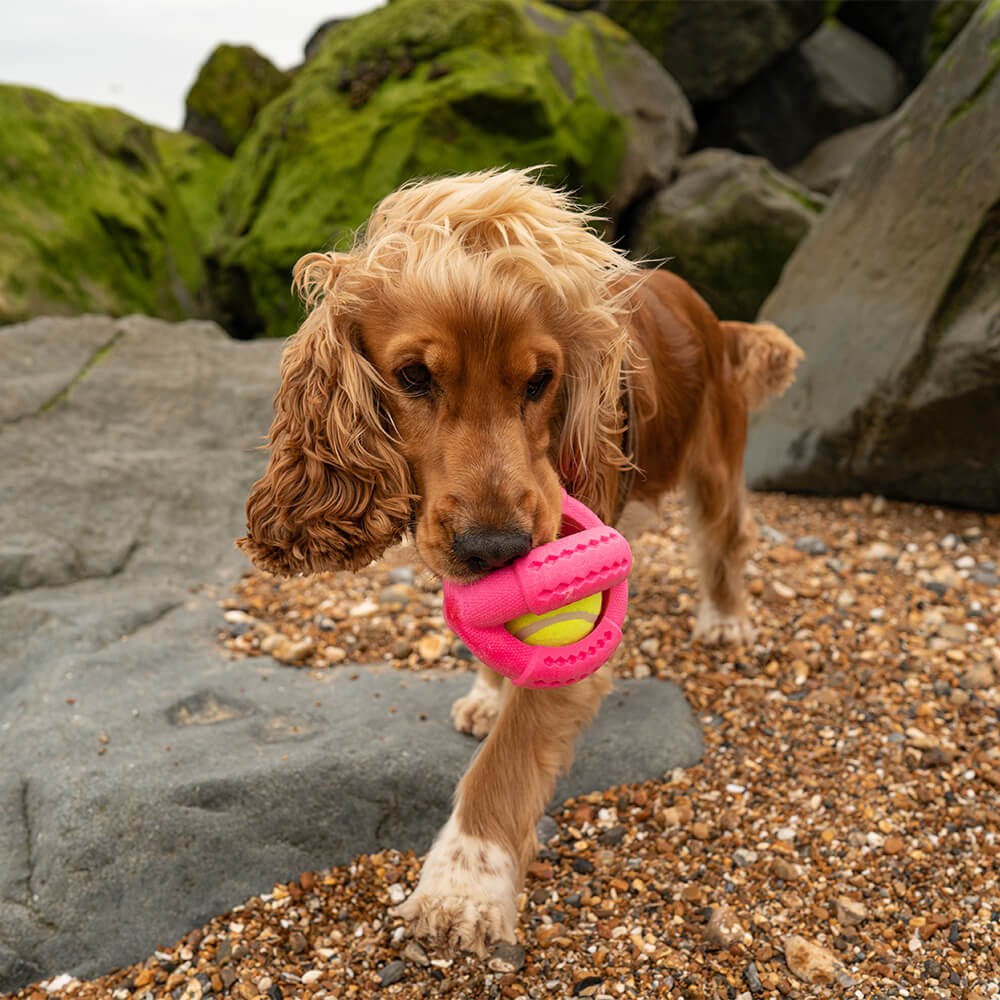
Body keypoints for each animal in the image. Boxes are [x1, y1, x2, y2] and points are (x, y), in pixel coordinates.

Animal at [238, 168, 800, 956]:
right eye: (414, 376)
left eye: (539, 381)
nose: (497, 550)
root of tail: (709, 313)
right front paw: (488, 691)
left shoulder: (575, 644)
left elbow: (507, 759)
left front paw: (462, 886)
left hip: (715, 454)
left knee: (726, 535)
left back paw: (724, 618)